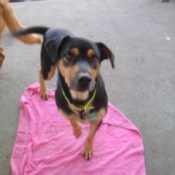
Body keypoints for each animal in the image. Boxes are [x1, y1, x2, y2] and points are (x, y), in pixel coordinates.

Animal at [14, 26, 114, 160]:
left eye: (94, 58)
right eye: (69, 55)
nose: (85, 79)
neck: (80, 99)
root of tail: (51, 29)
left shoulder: (98, 119)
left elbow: (91, 135)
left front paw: (87, 148)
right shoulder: (61, 109)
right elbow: (71, 118)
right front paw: (78, 131)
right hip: (49, 68)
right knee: (41, 72)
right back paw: (43, 91)